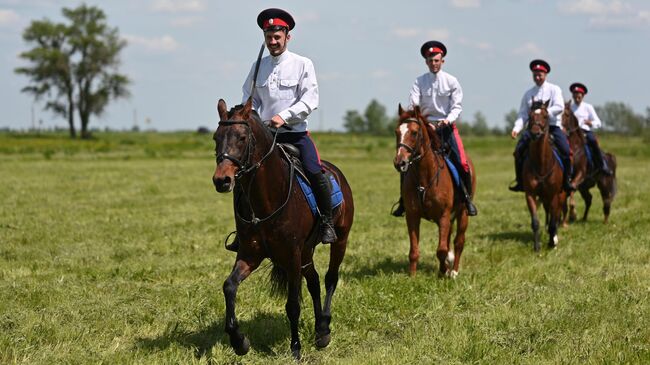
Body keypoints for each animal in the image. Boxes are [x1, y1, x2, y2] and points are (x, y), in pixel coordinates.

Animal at [211, 97, 354, 358]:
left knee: (330, 278)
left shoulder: (292, 255)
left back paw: (325, 329)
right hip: (307, 251)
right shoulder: (250, 254)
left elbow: (293, 304)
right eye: (216, 137)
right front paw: (239, 341)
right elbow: (229, 286)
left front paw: (295, 348)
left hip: (340, 239)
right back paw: (319, 330)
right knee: (314, 281)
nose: (222, 180)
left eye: (242, 137)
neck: (267, 198)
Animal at [392, 104, 474, 278]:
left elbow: (441, 250)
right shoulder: (412, 216)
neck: (425, 177)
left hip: (462, 213)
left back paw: (454, 271)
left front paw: (444, 271)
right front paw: (412, 276)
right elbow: (414, 250)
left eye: (414, 132)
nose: (400, 162)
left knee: (458, 242)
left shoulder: (443, 215)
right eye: (397, 132)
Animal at [520, 99, 560, 252]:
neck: (542, 165)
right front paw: (537, 247)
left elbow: (554, 221)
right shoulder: (530, 195)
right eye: (530, 116)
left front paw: (552, 243)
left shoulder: (554, 195)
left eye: (545, 116)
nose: (535, 133)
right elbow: (535, 222)